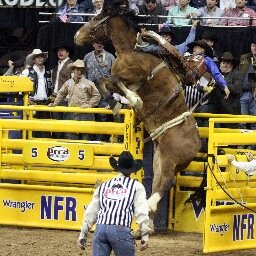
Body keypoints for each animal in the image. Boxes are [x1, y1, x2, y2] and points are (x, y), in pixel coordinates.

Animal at [75, 6, 201, 218]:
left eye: (96, 18)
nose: (76, 35)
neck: (129, 50)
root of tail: (198, 146)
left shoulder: (137, 74)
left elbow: (113, 79)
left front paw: (135, 99)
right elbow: (104, 81)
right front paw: (116, 104)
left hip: (170, 158)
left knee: (167, 182)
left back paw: (148, 205)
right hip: (160, 160)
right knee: (160, 183)